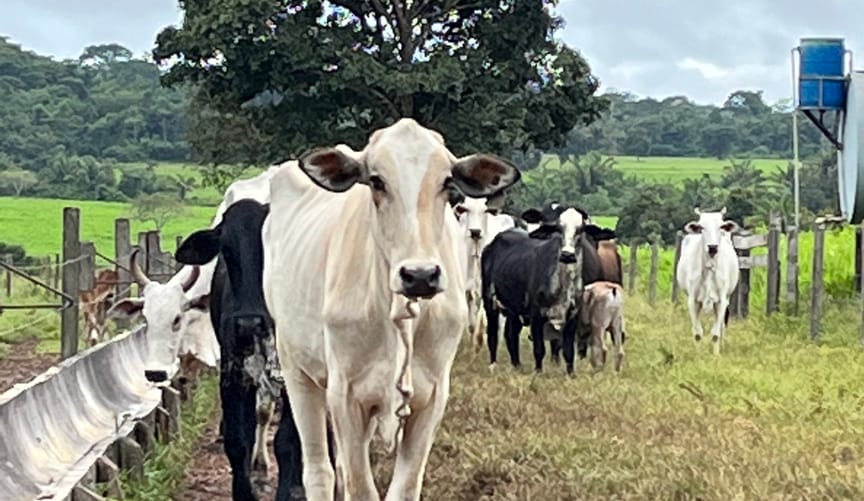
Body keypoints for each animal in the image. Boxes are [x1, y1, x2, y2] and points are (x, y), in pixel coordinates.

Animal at [262, 118, 520, 500]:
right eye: (376, 180)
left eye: (447, 183)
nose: (420, 275)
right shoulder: (344, 396)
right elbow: (360, 488)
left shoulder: (431, 399)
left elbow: (403, 487)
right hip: (297, 370)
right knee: (320, 470)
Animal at [676, 207, 740, 354]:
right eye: (701, 227)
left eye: (721, 226)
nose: (712, 247)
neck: (709, 267)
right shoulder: (692, 300)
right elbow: (697, 333)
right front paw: (698, 355)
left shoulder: (721, 300)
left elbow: (715, 333)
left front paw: (716, 355)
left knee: (721, 327)